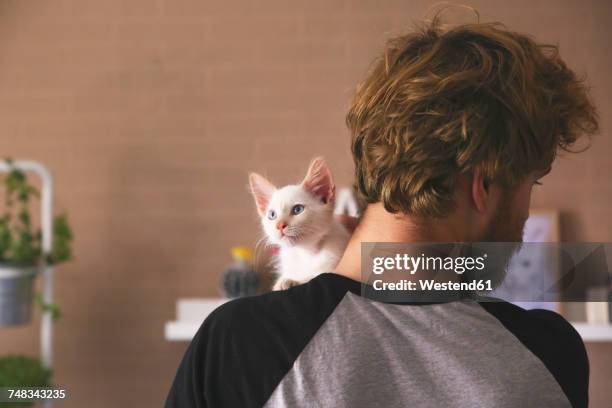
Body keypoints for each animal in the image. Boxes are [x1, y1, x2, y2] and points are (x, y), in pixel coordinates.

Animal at [249, 156, 352, 290]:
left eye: (297, 209)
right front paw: (282, 281)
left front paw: (289, 281)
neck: (305, 252)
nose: (279, 225)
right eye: (272, 215)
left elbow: (315, 276)